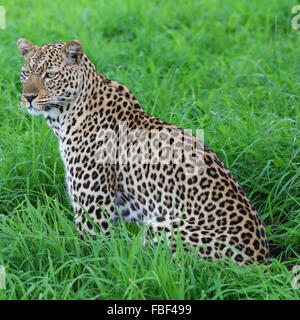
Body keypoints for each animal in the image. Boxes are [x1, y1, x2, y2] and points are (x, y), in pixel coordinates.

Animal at [16, 38, 270, 266]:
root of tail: (261, 262)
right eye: (25, 73)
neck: (64, 117)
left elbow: (88, 256)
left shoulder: (94, 215)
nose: (28, 97)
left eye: (50, 74)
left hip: (162, 225)